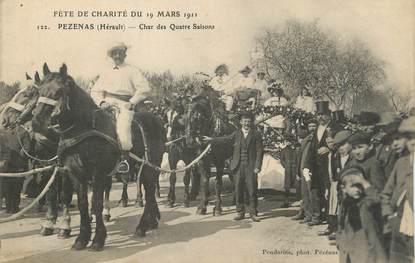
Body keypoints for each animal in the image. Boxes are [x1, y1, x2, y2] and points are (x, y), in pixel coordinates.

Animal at [30, 64, 165, 252]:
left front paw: (98, 239)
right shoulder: (76, 174)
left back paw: (142, 226)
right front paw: (81, 238)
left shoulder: (98, 174)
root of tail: (157, 120)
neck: (84, 129)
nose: (36, 122)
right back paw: (150, 222)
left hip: (148, 168)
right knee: (150, 193)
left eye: (59, 92)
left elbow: (96, 204)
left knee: (150, 192)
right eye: (39, 90)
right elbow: (82, 204)